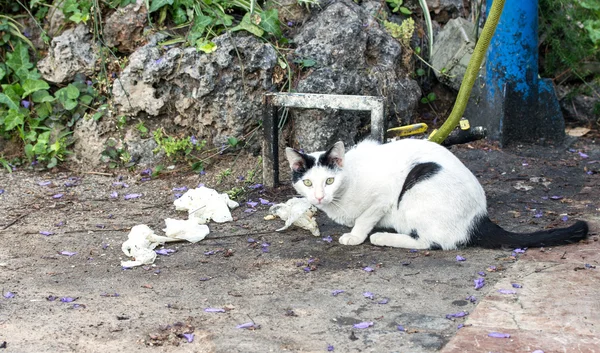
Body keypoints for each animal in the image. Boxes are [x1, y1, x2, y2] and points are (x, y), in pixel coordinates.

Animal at [284, 137, 588, 248]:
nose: (319, 197)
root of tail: (479, 217)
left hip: (417, 188)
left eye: (330, 181)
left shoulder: (383, 198)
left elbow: (365, 217)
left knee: (432, 243)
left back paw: (383, 238)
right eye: (308, 183)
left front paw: (356, 235)